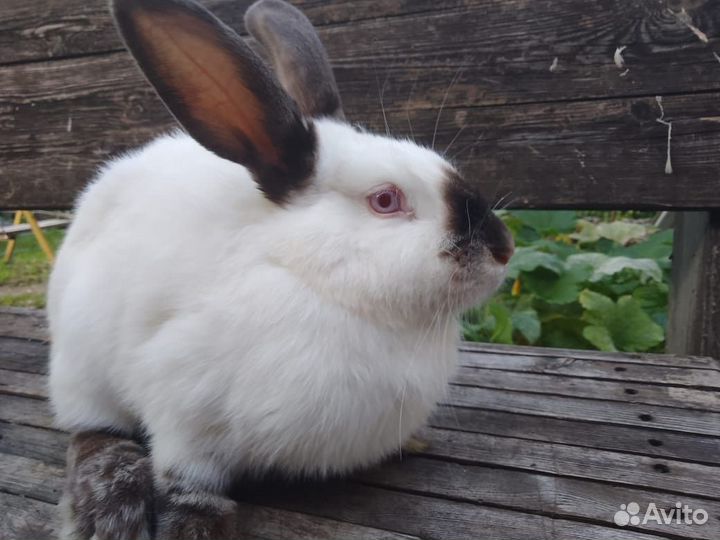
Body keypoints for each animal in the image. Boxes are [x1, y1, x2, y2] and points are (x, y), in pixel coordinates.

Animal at [48, 0, 515, 538]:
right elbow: (186, 479)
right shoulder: (184, 412)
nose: (504, 248)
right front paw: (195, 521)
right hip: (80, 363)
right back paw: (106, 505)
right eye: (385, 200)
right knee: (90, 433)